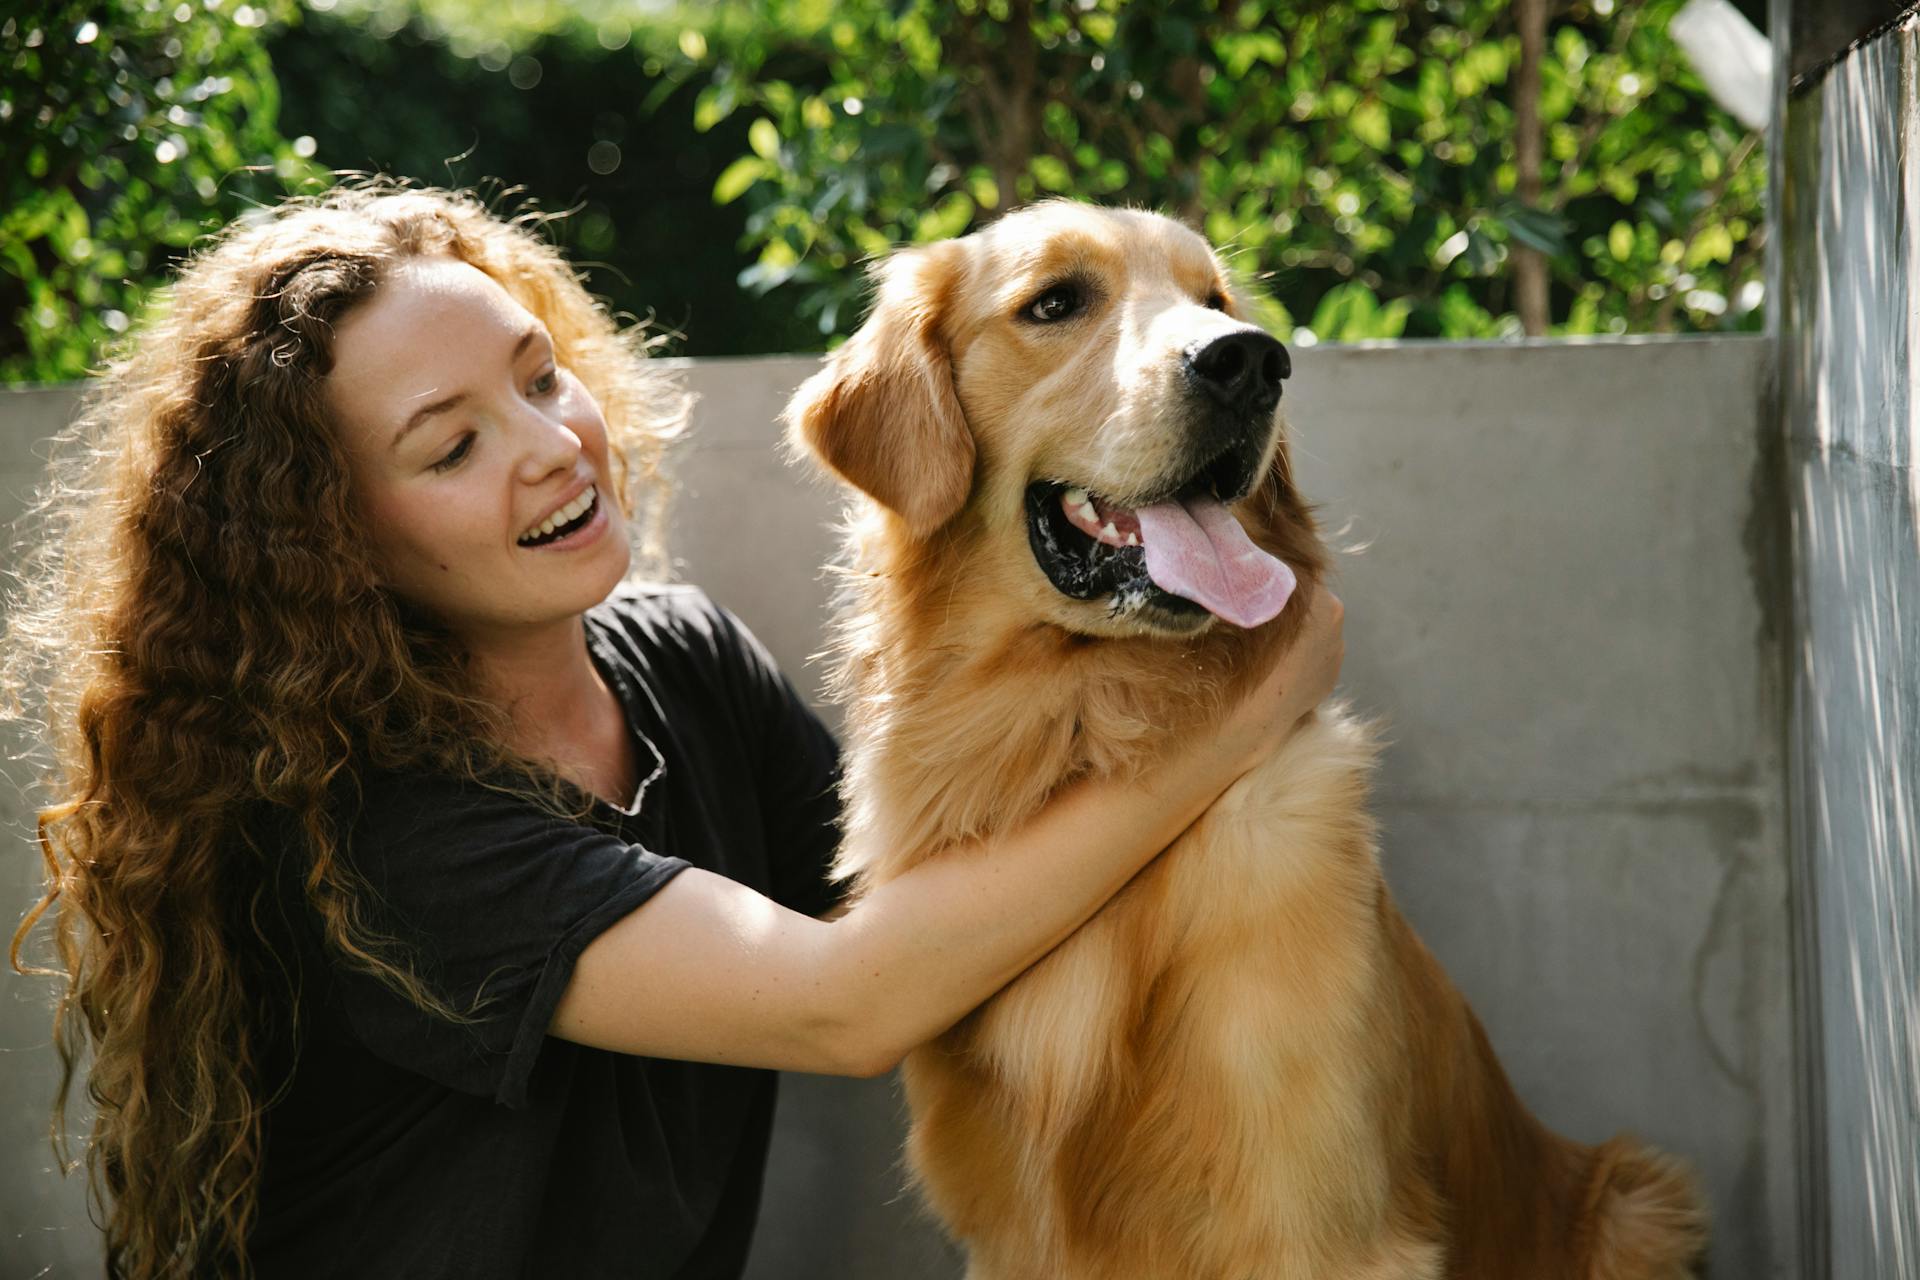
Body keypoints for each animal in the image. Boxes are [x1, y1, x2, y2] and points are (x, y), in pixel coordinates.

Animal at [787, 202, 1704, 1280]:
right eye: (1054, 302)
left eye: (1216, 300)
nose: (1250, 363)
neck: (1083, 720)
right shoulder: (1011, 1236)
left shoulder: (1323, 1224)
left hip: (1638, 1202)